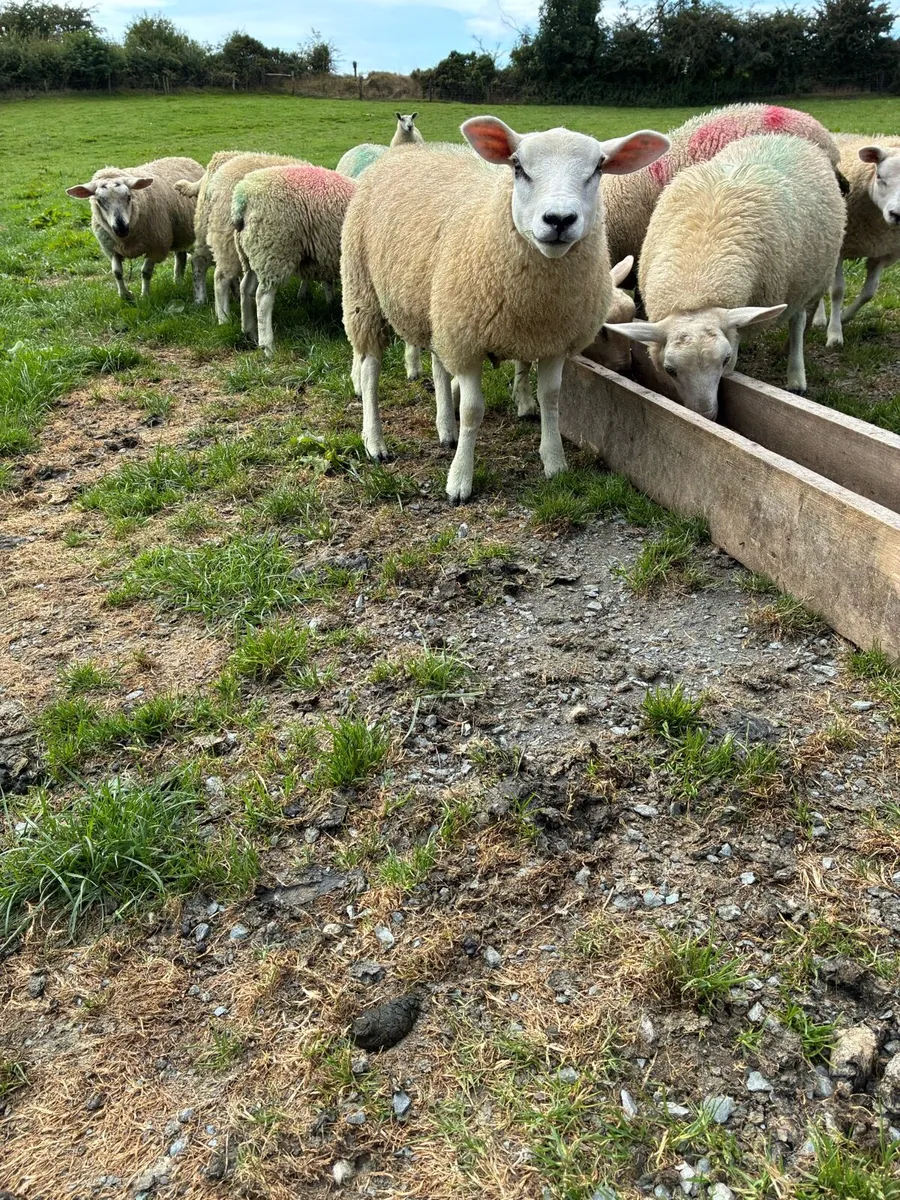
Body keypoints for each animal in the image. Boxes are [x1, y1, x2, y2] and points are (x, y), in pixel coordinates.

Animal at [66, 156, 203, 302]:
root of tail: (182, 158)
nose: (121, 228)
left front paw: (144, 296)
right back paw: (178, 282)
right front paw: (125, 295)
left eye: (128, 196)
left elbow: (146, 272)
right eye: (99, 201)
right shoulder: (112, 249)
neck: (126, 240)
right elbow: (117, 272)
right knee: (181, 256)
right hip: (179, 233)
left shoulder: (156, 247)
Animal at [231, 165, 356, 356]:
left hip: (253, 252)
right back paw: (268, 346)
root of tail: (241, 197)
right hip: (274, 248)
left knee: (246, 288)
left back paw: (250, 332)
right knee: (263, 297)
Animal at [341, 117, 670, 504]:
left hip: (436, 308)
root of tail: (404, 152)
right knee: (370, 370)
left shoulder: (551, 340)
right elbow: (472, 411)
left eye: (598, 168)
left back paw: (445, 428)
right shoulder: (468, 342)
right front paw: (460, 480)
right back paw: (375, 441)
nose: (559, 220)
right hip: (363, 292)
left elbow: (551, 398)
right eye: (518, 167)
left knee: (438, 366)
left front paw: (554, 462)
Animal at [614, 134, 846, 420]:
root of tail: (787, 138)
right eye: (670, 370)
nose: (707, 416)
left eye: (724, 360)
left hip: (805, 277)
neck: (696, 283)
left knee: (798, 319)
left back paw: (795, 374)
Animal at [812, 135, 900, 348]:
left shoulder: (880, 252)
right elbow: (837, 291)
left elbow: (869, 292)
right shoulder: (841, 248)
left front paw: (844, 316)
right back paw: (819, 320)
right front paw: (835, 334)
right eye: (880, 177)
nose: (897, 214)